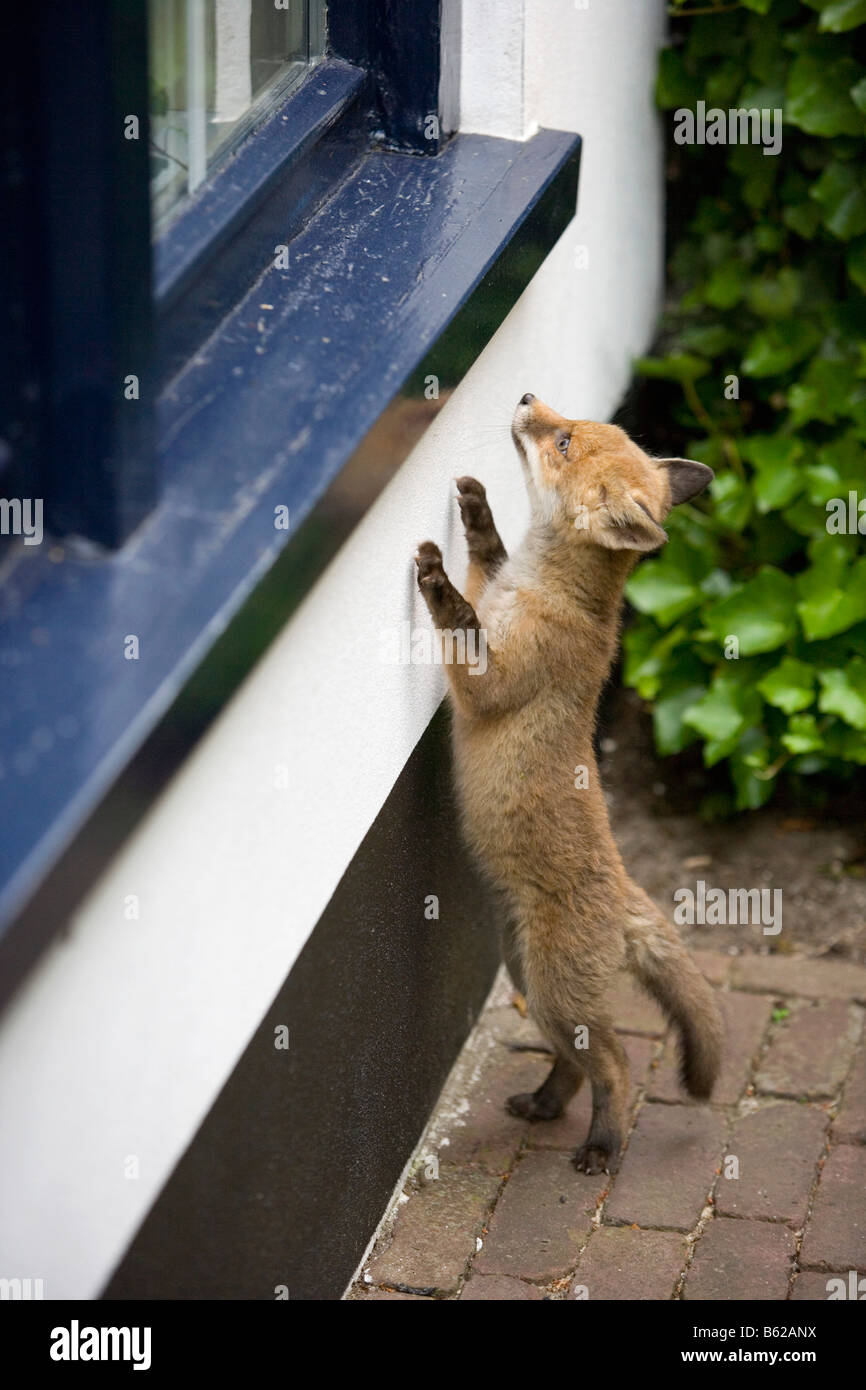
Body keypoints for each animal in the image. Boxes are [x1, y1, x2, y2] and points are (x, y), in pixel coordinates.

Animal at [414, 393, 724, 1175]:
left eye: (562, 442)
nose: (525, 396)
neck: (541, 589)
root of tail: (623, 893)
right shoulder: (493, 585)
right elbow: (485, 557)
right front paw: (477, 512)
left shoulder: (487, 683)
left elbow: (461, 622)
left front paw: (434, 581)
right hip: (530, 982)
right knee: (577, 1062)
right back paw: (546, 1103)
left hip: (555, 991)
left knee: (615, 1064)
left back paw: (602, 1145)